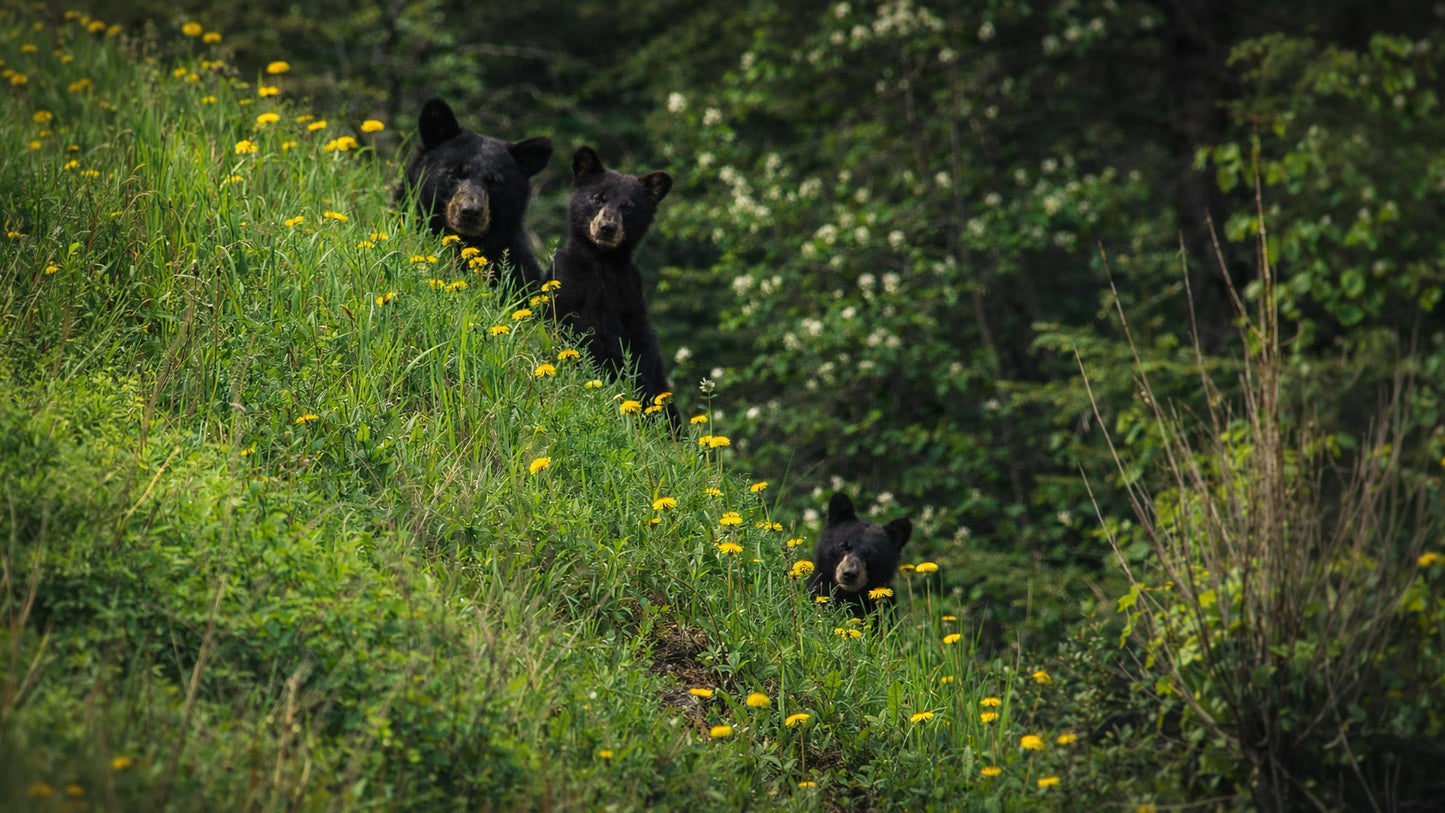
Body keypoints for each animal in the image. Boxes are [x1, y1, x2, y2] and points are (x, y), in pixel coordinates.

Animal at [551, 145, 682, 434]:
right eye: (597, 198)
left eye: (628, 206)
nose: (607, 228)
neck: (603, 263)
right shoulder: (567, 286)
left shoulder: (630, 296)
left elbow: (640, 351)